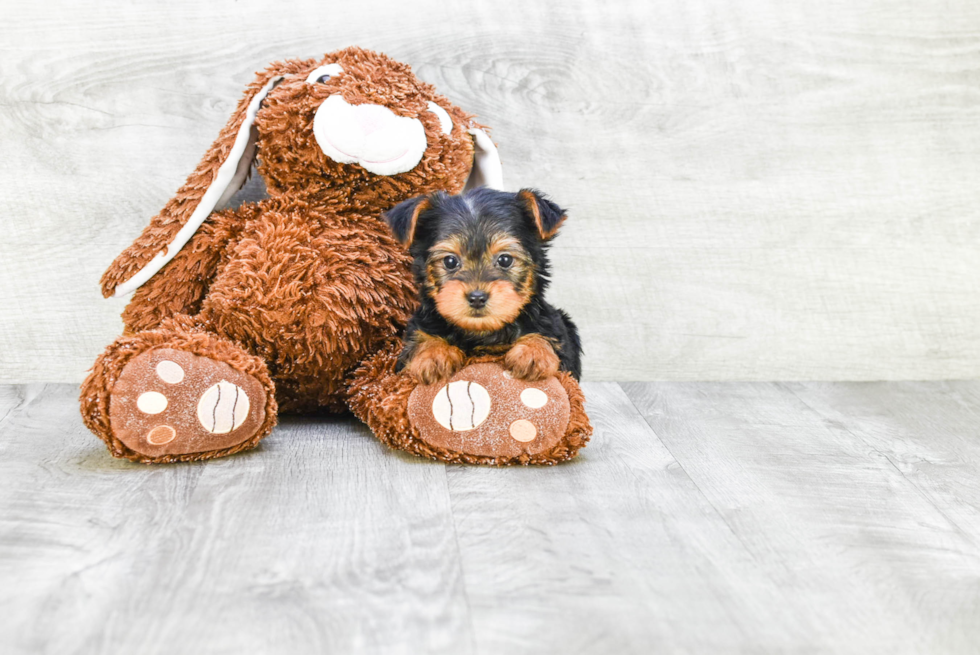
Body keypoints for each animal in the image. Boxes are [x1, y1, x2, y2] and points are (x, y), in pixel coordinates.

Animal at [384, 186, 580, 384]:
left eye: (505, 260)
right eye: (449, 261)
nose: (477, 298)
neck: (481, 332)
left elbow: (547, 335)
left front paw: (534, 352)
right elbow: (420, 339)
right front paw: (433, 354)